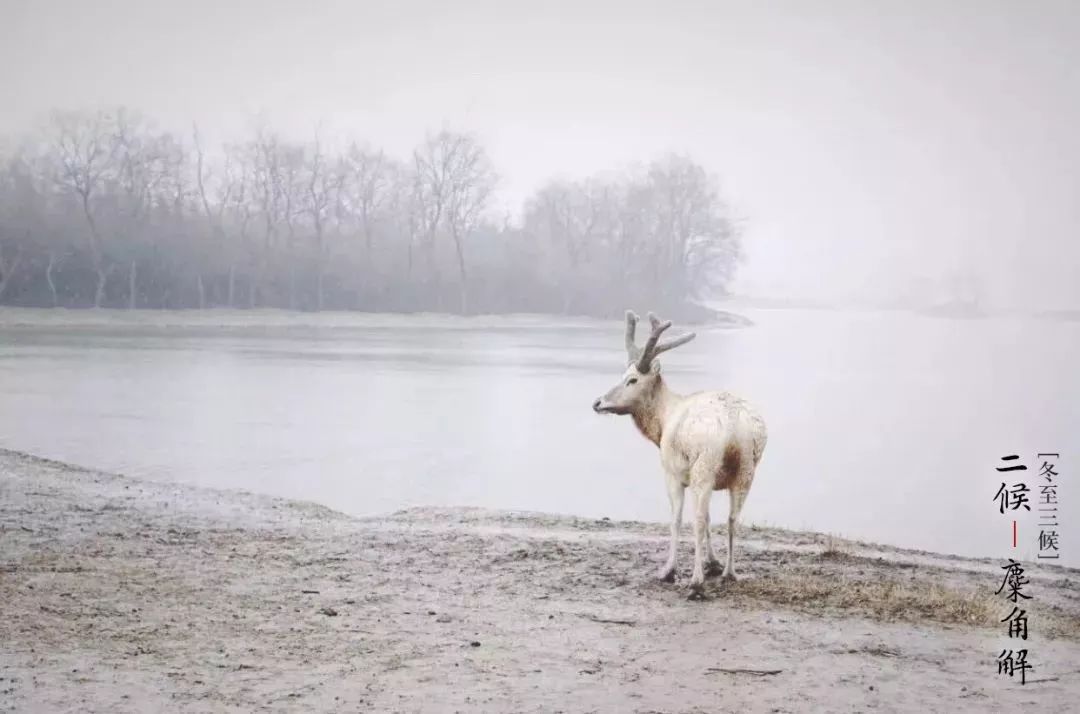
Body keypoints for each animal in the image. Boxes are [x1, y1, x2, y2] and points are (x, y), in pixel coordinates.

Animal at [591, 308, 768, 591]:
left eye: (632, 379)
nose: (598, 402)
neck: (661, 424)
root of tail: (735, 427)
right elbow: (711, 518)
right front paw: (713, 563)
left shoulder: (672, 472)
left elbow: (676, 519)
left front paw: (668, 570)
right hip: (746, 470)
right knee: (732, 518)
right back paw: (730, 572)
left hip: (703, 465)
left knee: (697, 519)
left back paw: (696, 581)